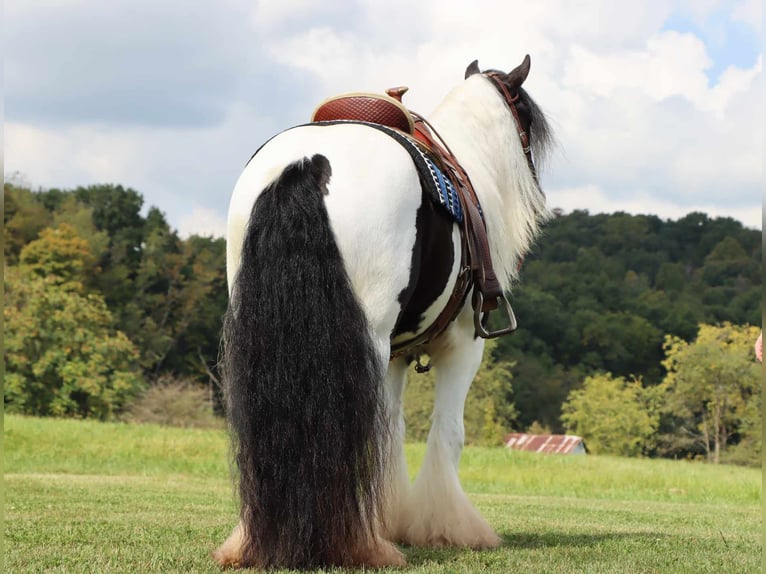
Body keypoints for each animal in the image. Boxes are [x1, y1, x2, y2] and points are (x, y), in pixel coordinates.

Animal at [213, 56, 556, 568]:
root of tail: (308, 162)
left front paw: (395, 518)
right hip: (369, 342)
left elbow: (392, 431)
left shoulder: (396, 355)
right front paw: (448, 526)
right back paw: (359, 545)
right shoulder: (463, 347)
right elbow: (446, 433)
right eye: (526, 123)